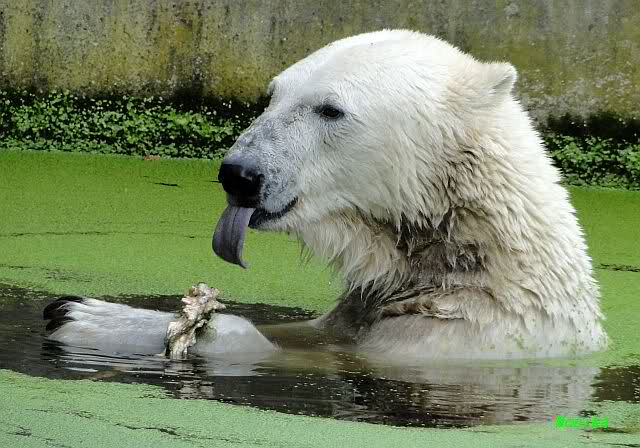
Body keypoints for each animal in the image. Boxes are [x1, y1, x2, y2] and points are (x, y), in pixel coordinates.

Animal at [46, 30, 607, 360]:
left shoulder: (446, 342)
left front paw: (88, 316)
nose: (239, 174)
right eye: (273, 94)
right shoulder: (352, 320)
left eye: (330, 109)